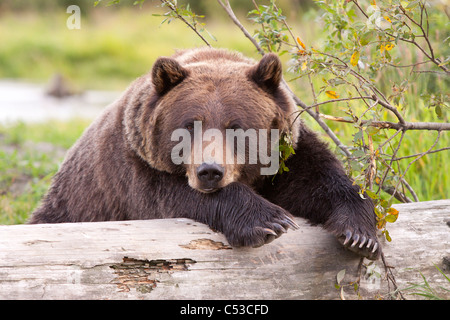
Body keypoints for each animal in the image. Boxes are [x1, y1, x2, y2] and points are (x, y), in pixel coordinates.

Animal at [29, 48, 380, 262]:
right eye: (189, 125)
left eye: (236, 127)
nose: (210, 171)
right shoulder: (136, 168)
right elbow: (174, 196)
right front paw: (268, 221)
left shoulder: (286, 156)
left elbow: (319, 179)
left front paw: (360, 235)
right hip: (68, 207)